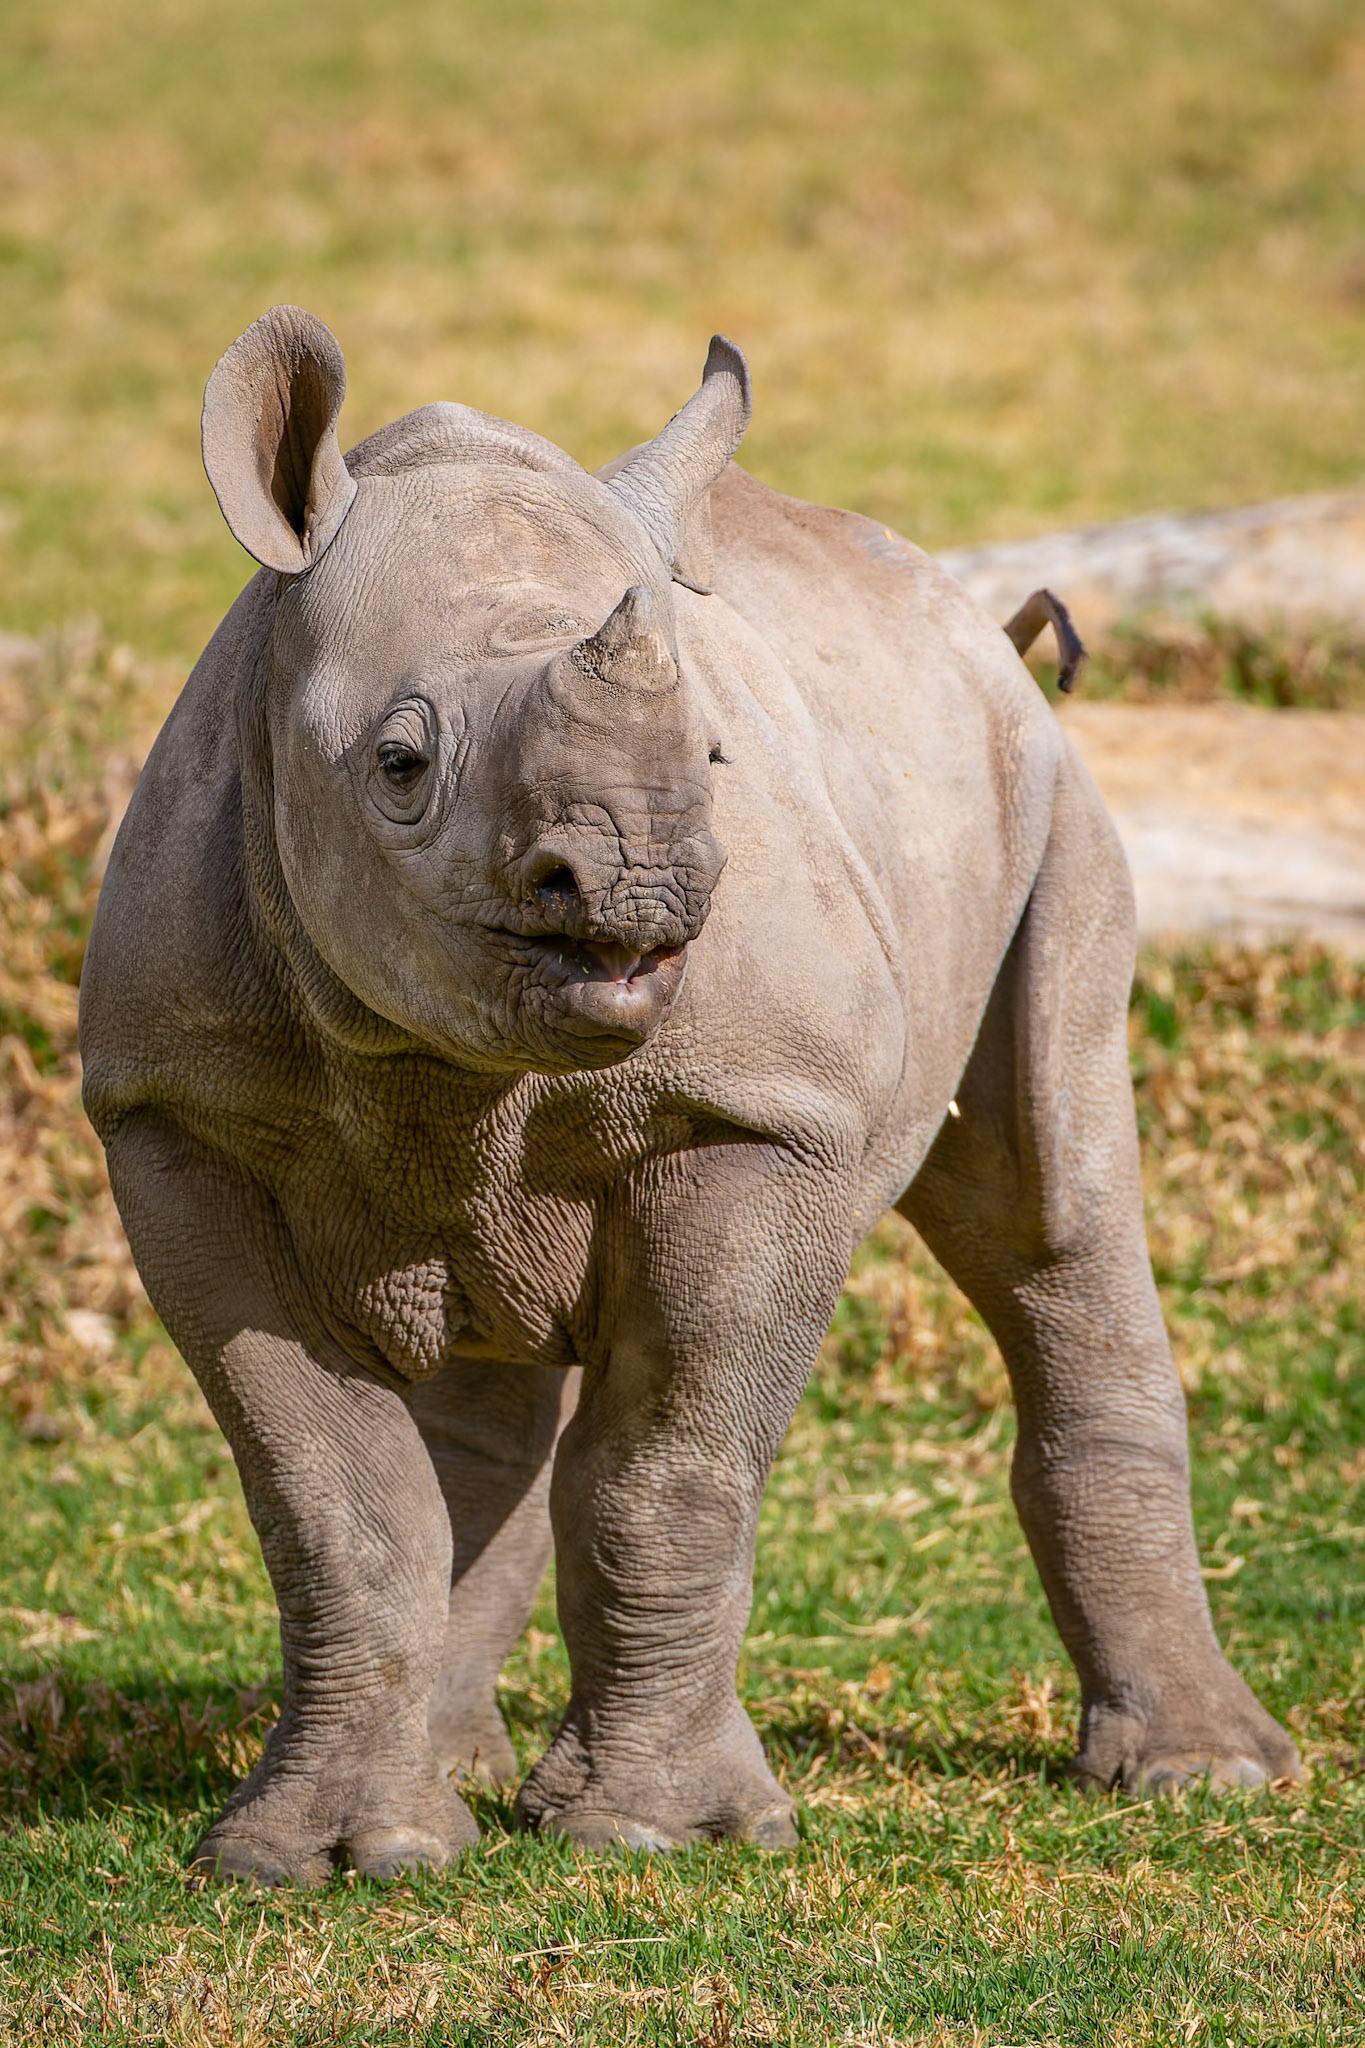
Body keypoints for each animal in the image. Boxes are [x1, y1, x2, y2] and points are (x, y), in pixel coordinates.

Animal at [78, 307, 1298, 1884]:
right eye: (400, 764)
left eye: (714, 755)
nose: (642, 882)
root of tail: (970, 624)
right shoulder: (172, 1114)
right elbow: (334, 1497)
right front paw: (323, 1859)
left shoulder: (765, 1109)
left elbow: (667, 1467)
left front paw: (655, 1835)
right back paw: (457, 1776)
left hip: (1050, 805)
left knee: (1051, 1215)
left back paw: (1203, 1779)